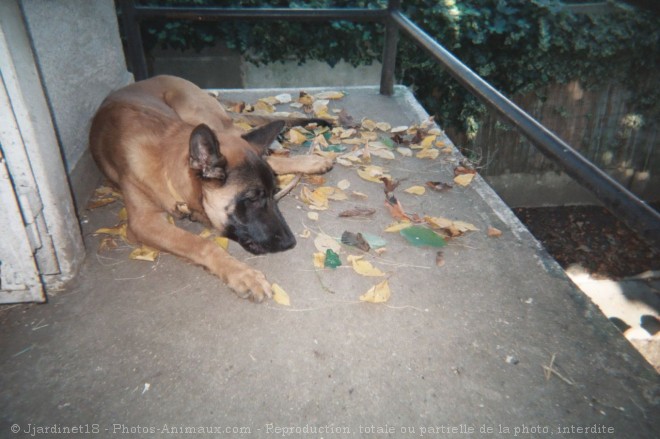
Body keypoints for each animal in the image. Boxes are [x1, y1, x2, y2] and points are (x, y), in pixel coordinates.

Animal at [90, 75, 332, 302]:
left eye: (274, 193)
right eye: (253, 198)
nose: (290, 242)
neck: (165, 162)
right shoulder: (143, 223)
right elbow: (201, 244)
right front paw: (242, 274)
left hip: (204, 117)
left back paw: (310, 160)